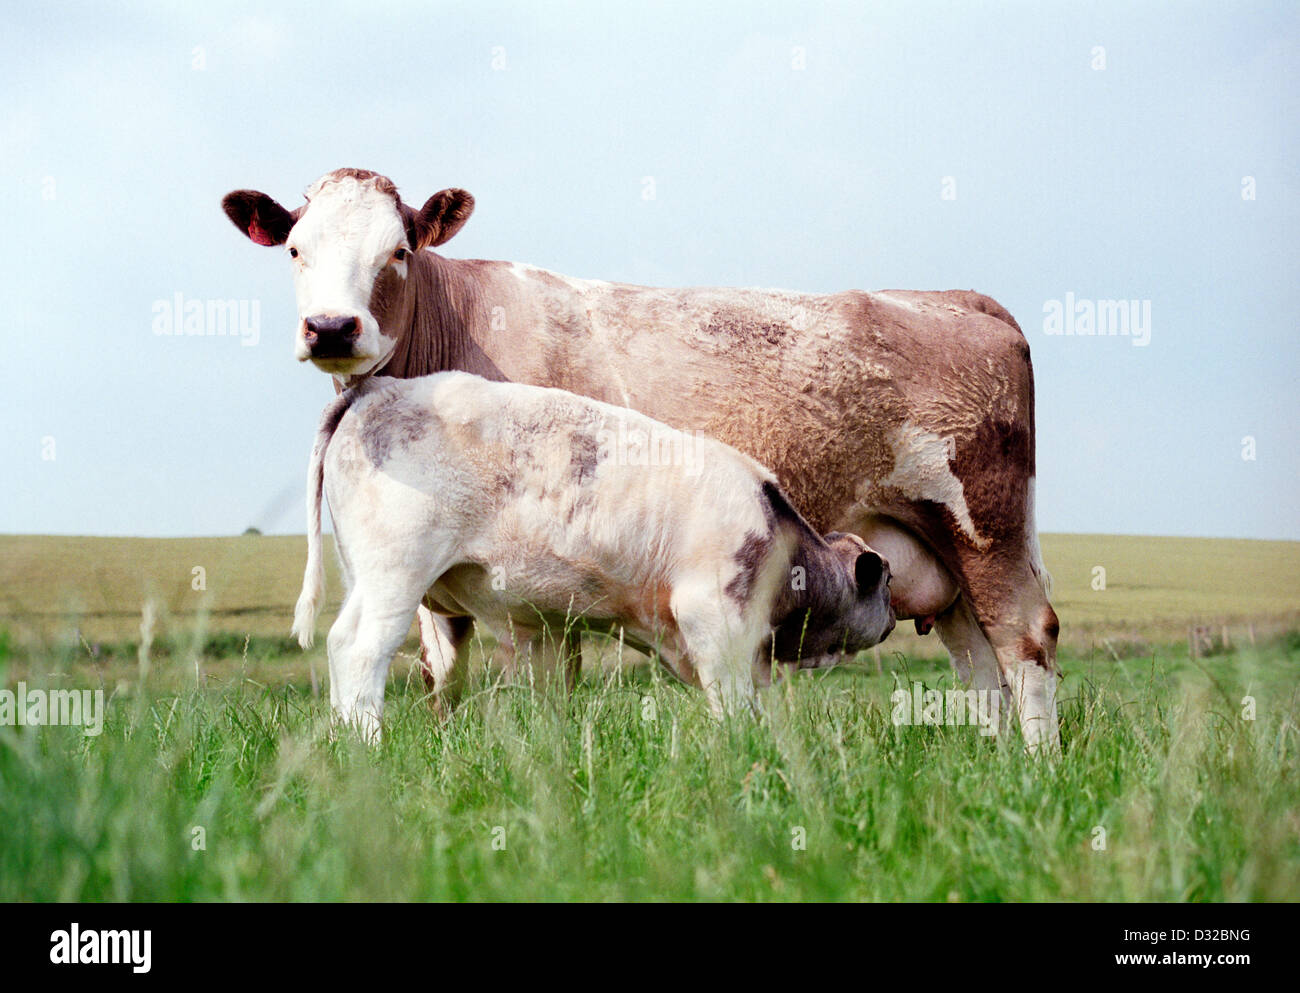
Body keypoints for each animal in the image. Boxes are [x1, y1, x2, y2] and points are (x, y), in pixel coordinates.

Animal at [291, 372, 896, 738]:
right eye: (886, 583)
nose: (896, 619)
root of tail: (377, 388)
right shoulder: (714, 613)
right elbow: (730, 695)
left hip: (363, 575)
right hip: (394, 573)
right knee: (358, 649)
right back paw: (367, 741)